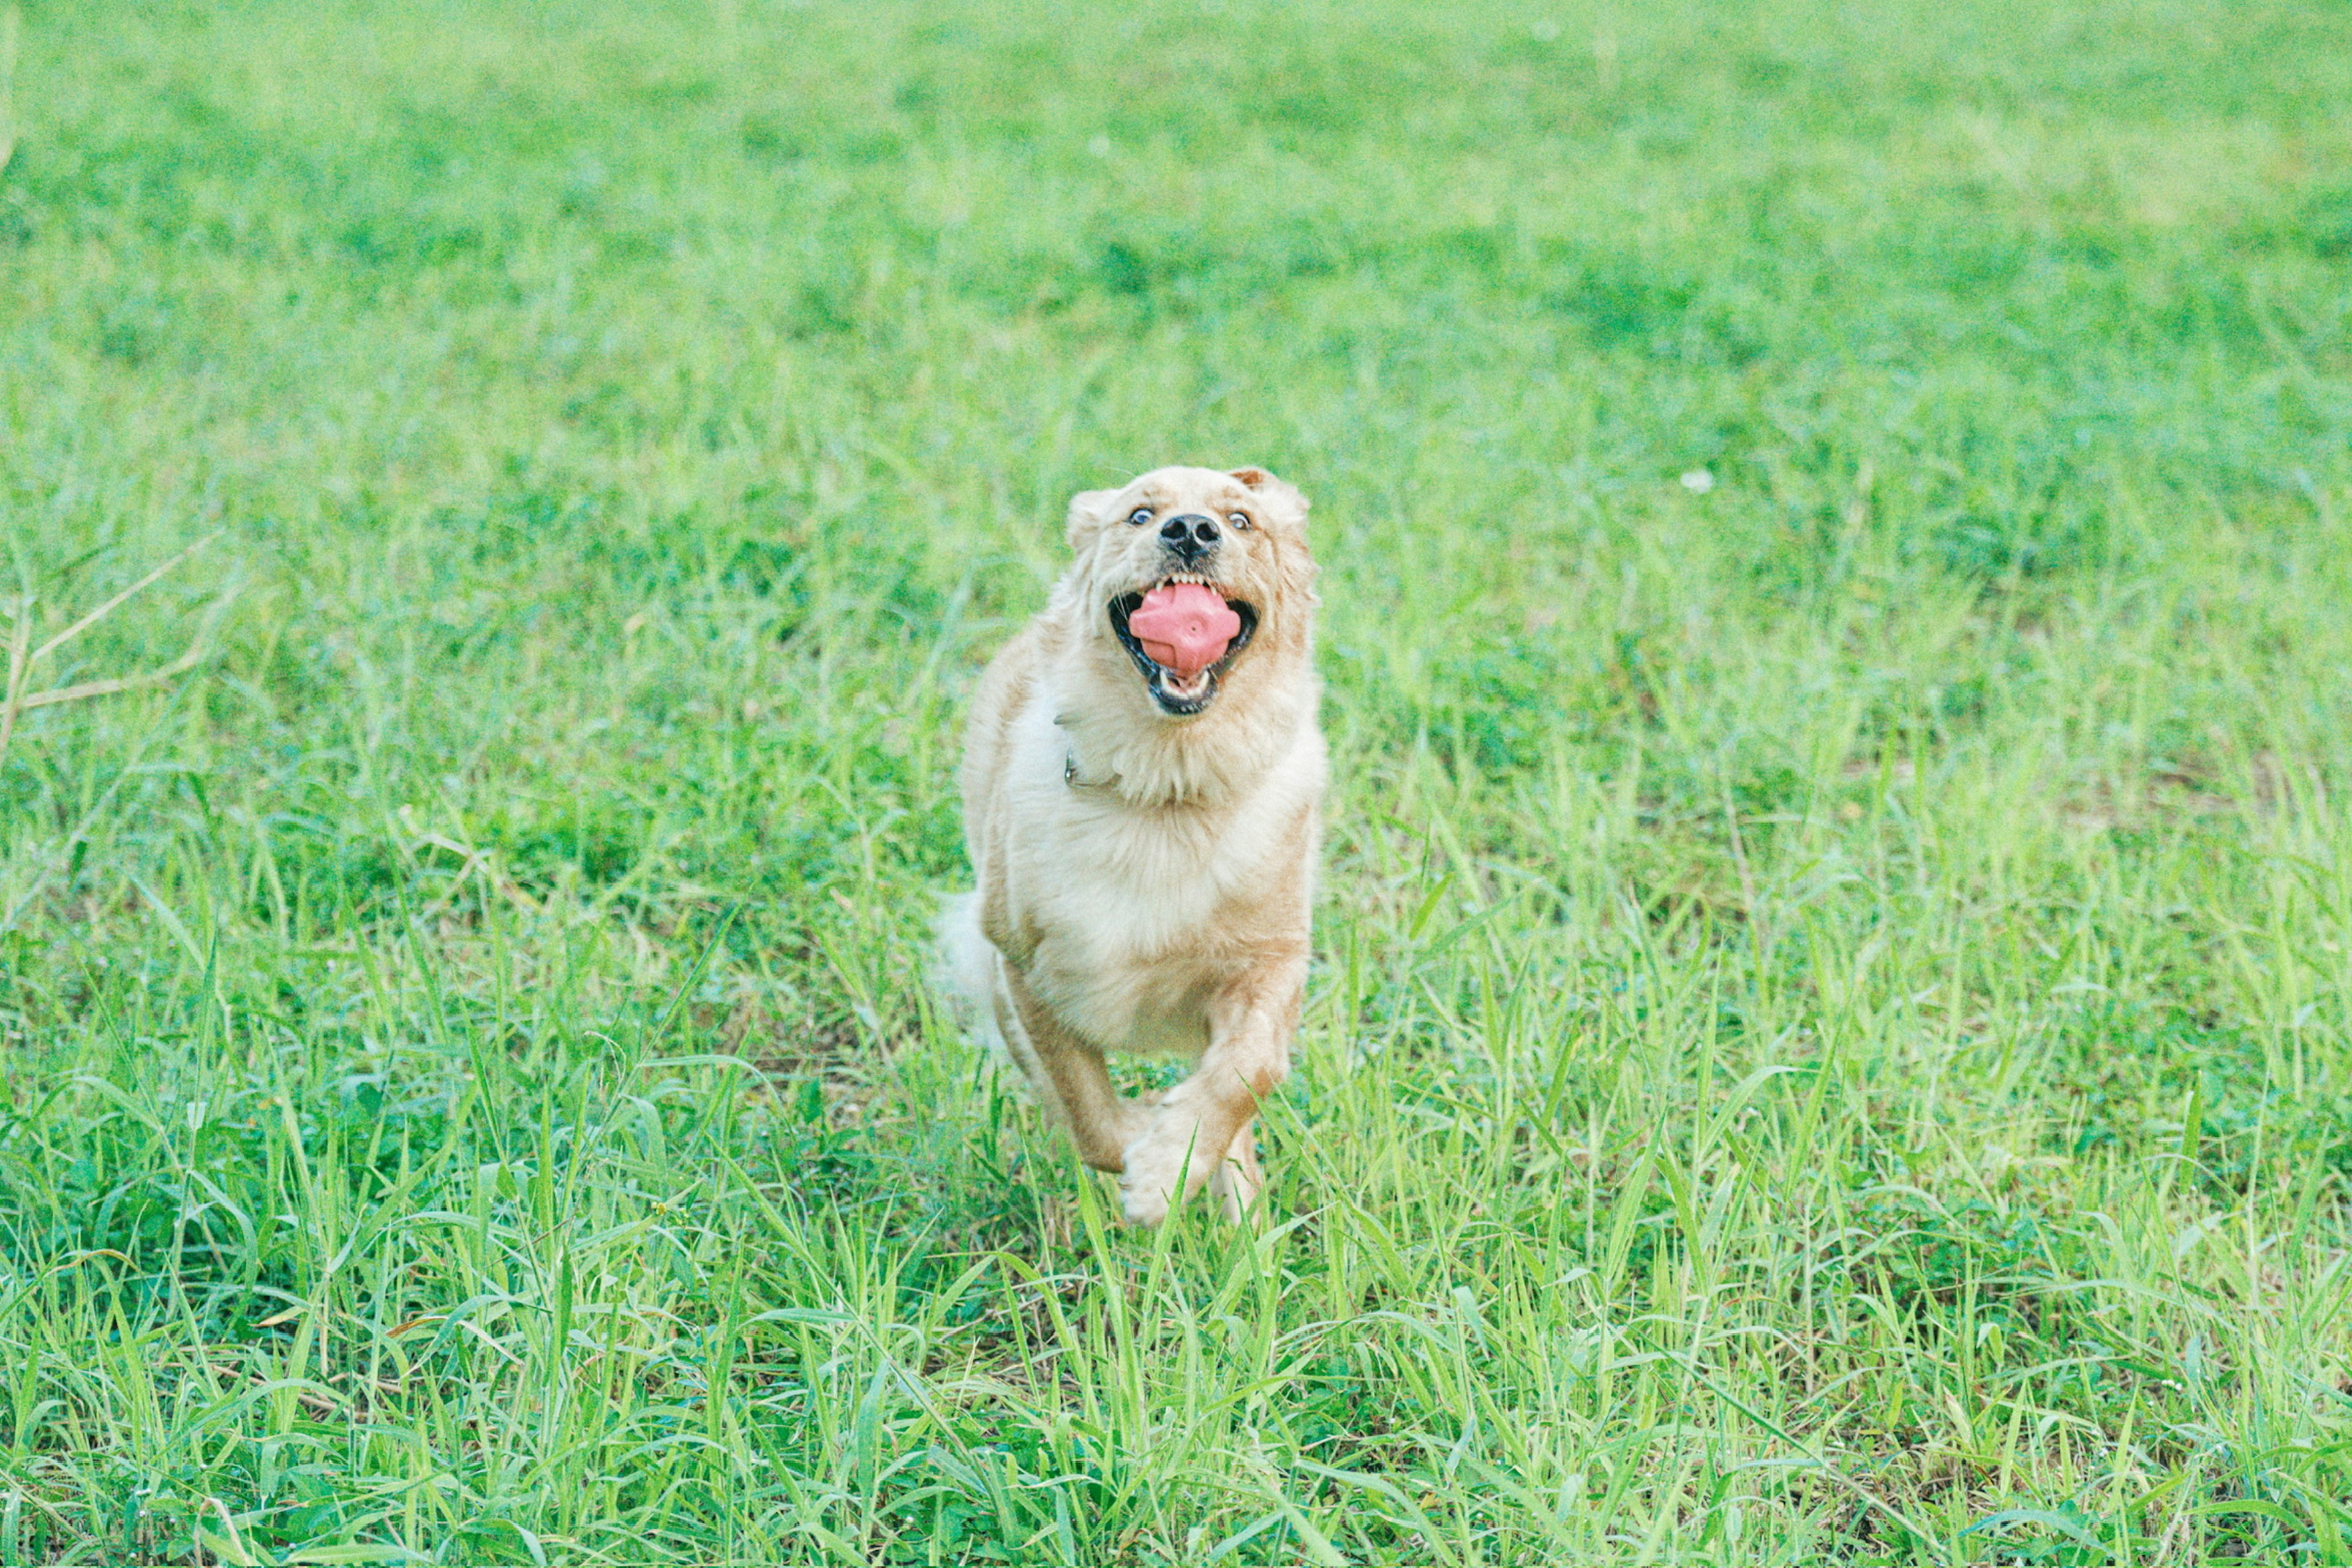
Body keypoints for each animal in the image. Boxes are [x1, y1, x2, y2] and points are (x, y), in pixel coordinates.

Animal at [945, 465, 1326, 1222]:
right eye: (1140, 515)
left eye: (1241, 521)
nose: (1190, 531)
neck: (1166, 788)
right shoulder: (1027, 971)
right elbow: (1086, 1111)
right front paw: (1147, 1151)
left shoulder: (1271, 960)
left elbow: (1250, 1069)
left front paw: (1170, 1162)